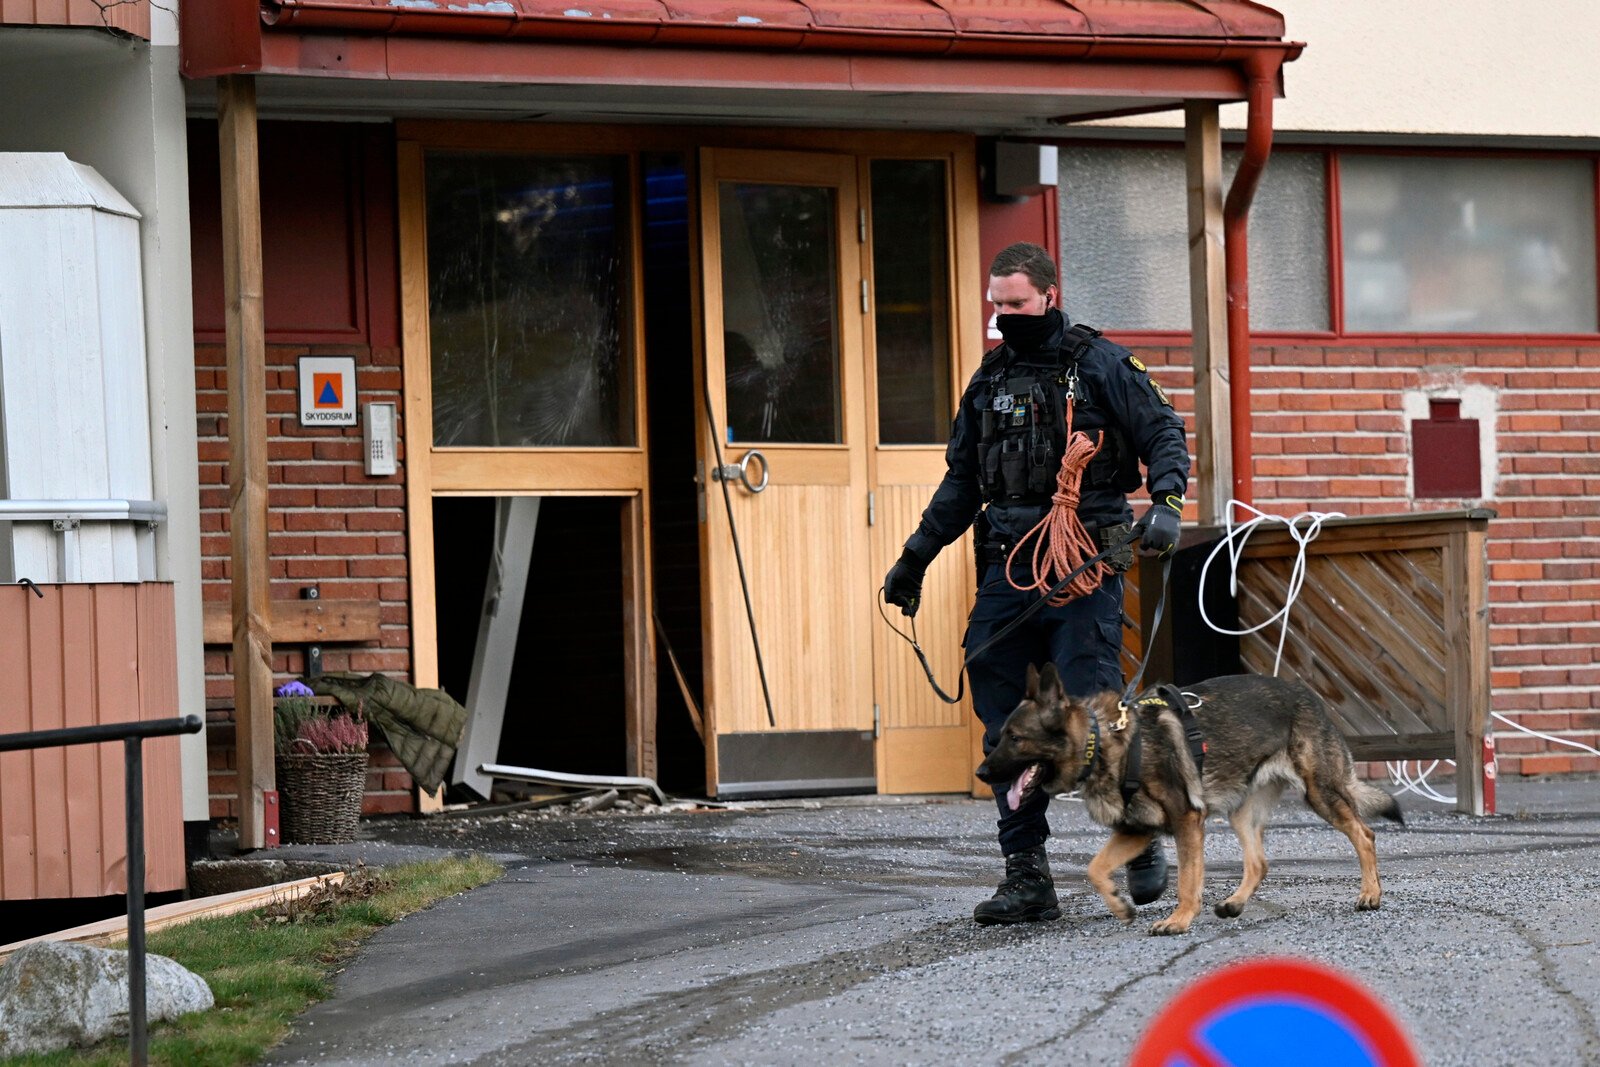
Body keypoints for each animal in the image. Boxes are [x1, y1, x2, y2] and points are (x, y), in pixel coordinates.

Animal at [972, 668, 1401, 934]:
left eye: (1015, 738)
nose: (981, 773)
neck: (1104, 742)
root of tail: (1307, 694)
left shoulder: (1187, 821)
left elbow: (1187, 880)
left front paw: (1179, 920)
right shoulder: (1135, 830)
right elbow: (1095, 868)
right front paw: (1120, 905)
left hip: (1320, 793)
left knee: (1364, 834)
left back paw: (1370, 893)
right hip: (1241, 812)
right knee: (1259, 862)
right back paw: (1234, 904)